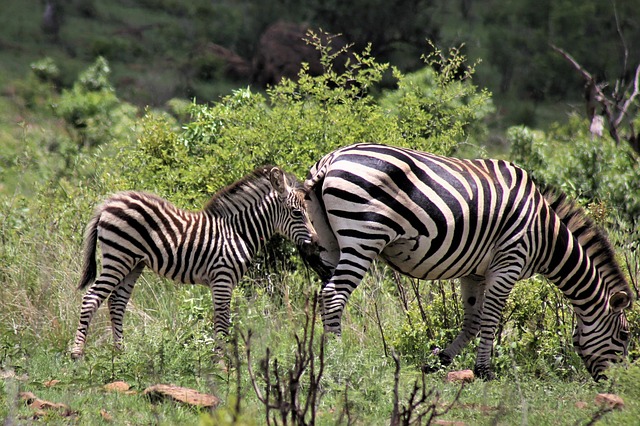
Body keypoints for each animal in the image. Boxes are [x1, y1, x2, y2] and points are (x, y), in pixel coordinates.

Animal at [70, 166, 318, 360]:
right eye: (297, 213)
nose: (316, 242)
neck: (237, 232)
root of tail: (108, 202)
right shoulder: (222, 278)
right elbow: (222, 320)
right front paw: (220, 363)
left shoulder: (223, 281)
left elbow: (222, 319)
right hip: (118, 257)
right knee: (91, 298)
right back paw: (77, 353)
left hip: (133, 263)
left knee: (117, 302)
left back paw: (120, 352)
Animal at [302, 143, 632, 380]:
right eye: (625, 336)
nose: (617, 384)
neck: (545, 234)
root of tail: (331, 159)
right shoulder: (509, 262)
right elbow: (490, 319)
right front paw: (485, 370)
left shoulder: (475, 273)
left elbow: (472, 320)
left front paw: (439, 361)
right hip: (364, 236)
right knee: (334, 294)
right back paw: (337, 355)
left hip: (331, 241)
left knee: (326, 292)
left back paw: (325, 352)